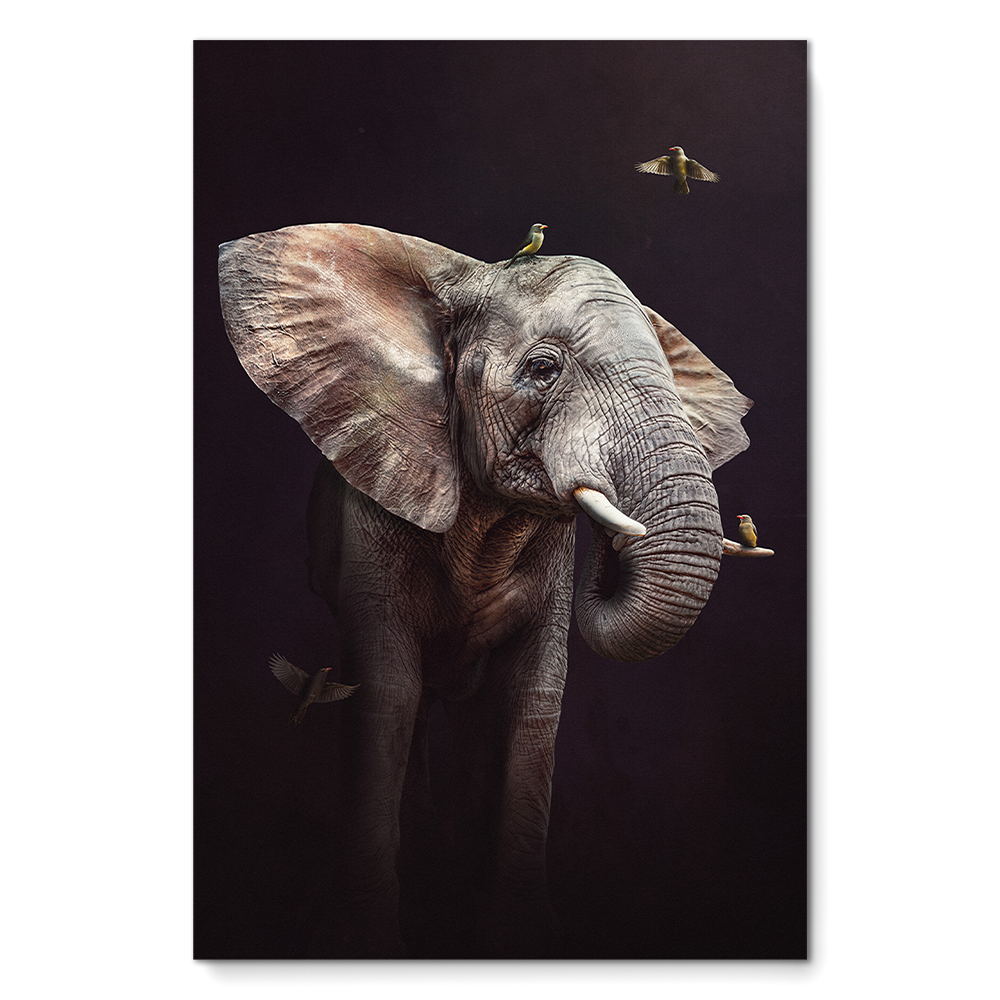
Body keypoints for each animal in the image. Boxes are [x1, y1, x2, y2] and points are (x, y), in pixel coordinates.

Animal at [218, 222, 754, 957]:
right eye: (543, 370)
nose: (614, 540)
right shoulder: (375, 496)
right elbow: (384, 689)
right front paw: (367, 940)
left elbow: (531, 694)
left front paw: (519, 938)